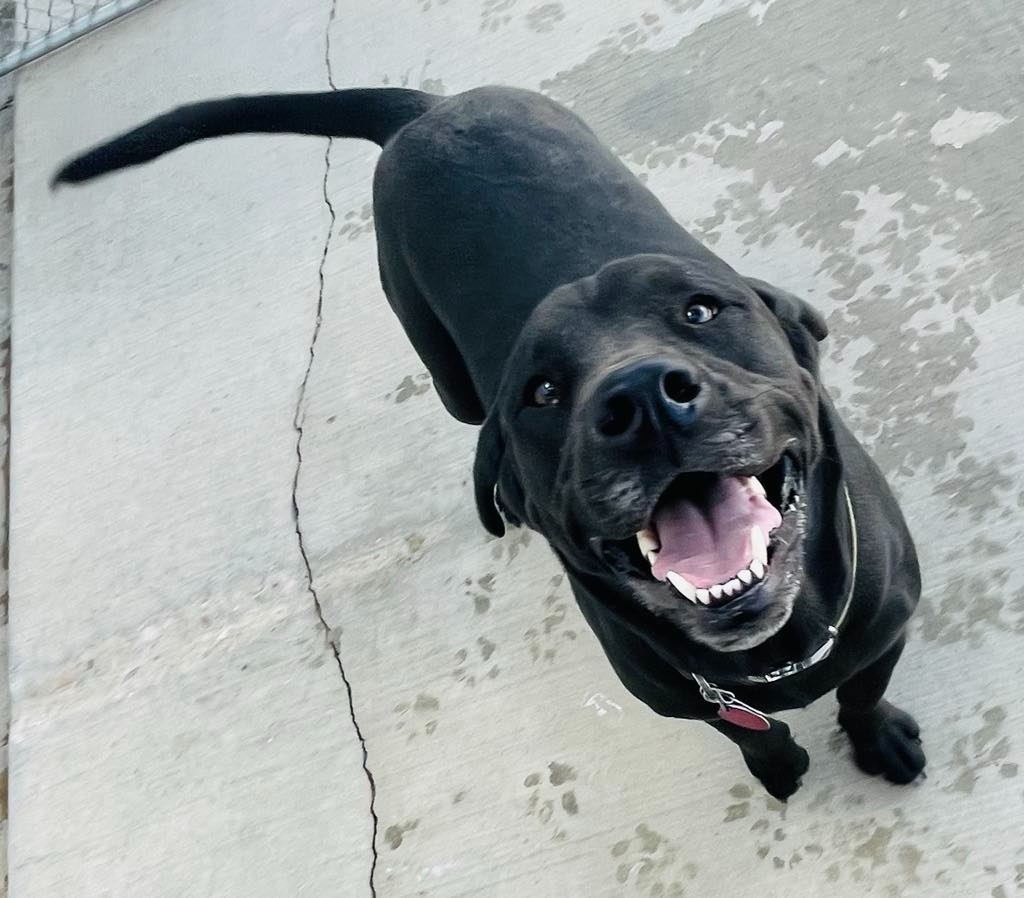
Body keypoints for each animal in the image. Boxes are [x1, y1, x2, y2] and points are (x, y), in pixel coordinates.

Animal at [51, 86, 925, 798]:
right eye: (541, 391)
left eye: (701, 311)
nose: (641, 399)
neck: (777, 647)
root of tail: (428, 109)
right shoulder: (680, 695)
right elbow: (749, 733)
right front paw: (779, 764)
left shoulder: (886, 628)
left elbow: (861, 690)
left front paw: (875, 738)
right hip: (446, 375)